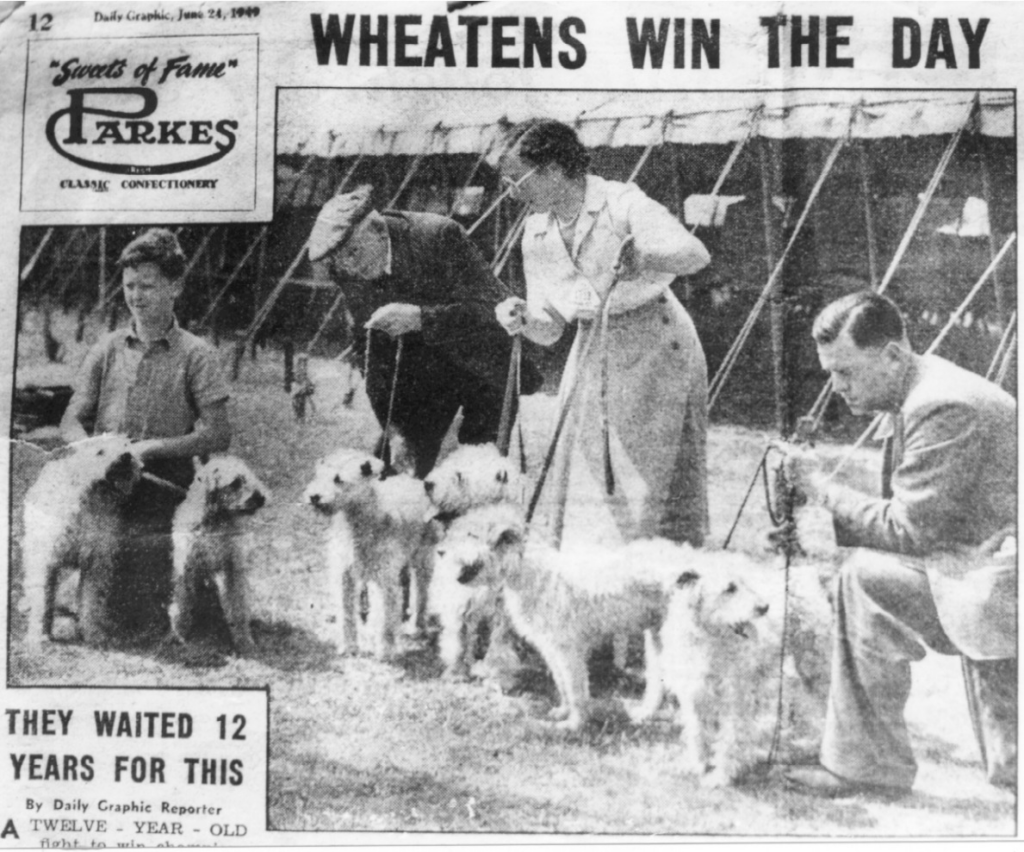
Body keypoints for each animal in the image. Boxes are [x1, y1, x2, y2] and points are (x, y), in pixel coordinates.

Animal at [20, 436, 141, 647]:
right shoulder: (47, 560)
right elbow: (43, 598)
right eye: (100, 452)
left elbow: (92, 600)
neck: (87, 499)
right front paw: (40, 635)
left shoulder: (95, 562)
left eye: (126, 444)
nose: (126, 457)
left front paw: (93, 633)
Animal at [166, 456, 268, 655]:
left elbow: (237, 606)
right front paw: (179, 634)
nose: (261, 498)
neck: (214, 521)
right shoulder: (188, 567)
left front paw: (244, 641)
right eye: (235, 482)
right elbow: (183, 602)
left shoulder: (232, 569)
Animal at [301, 448, 434, 663]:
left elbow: (386, 617)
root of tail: (413, 482)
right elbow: (347, 613)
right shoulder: (345, 577)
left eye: (338, 478)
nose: (314, 496)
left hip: (422, 561)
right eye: (318, 474)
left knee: (420, 595)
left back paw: (416, 628)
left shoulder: (386, 581)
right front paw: (350, 647)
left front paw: (385, 651)